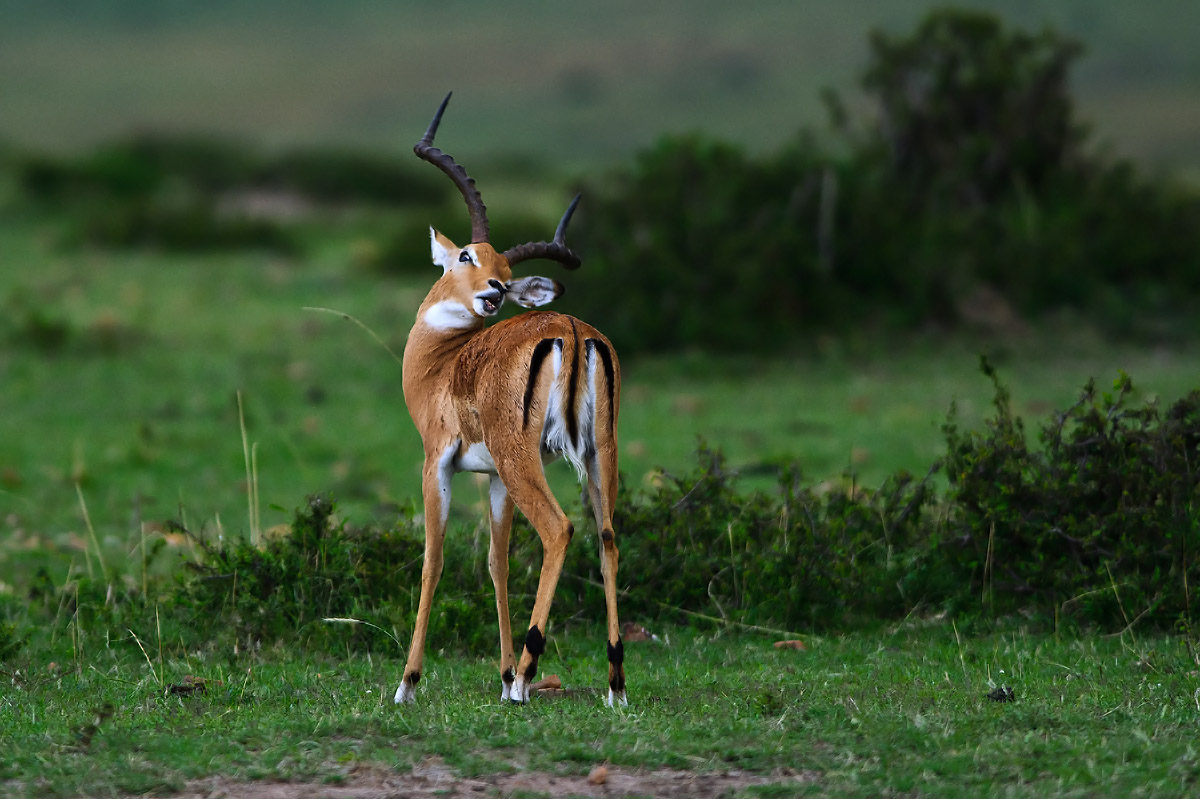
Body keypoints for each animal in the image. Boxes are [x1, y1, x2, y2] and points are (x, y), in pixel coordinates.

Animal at [393, 93, 626, 707]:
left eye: (504, 270)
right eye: (469, 256)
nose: (496, 292)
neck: (442, 363)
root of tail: (571, 330)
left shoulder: (436, 462)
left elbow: (433, 559)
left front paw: (407, 682)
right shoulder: (493, 475)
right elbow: (496, 562)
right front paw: (497, 675)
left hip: (528, 461)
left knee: (560, 530)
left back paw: (526, 677)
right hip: (599, 452)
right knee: (608, 537)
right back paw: (614, 683)